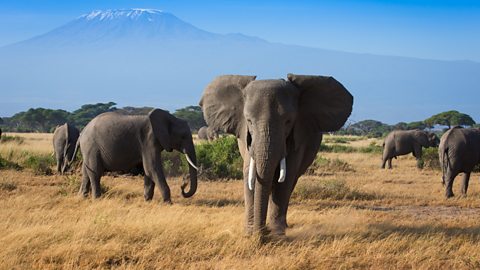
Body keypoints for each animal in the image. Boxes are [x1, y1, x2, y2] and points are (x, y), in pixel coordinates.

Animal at [199, 73, 352, 235]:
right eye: (249, 121)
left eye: (288, 121)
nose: (261, 234)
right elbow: (249, 174)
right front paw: (250, 232)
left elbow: (285, 177)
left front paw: (276, 233)